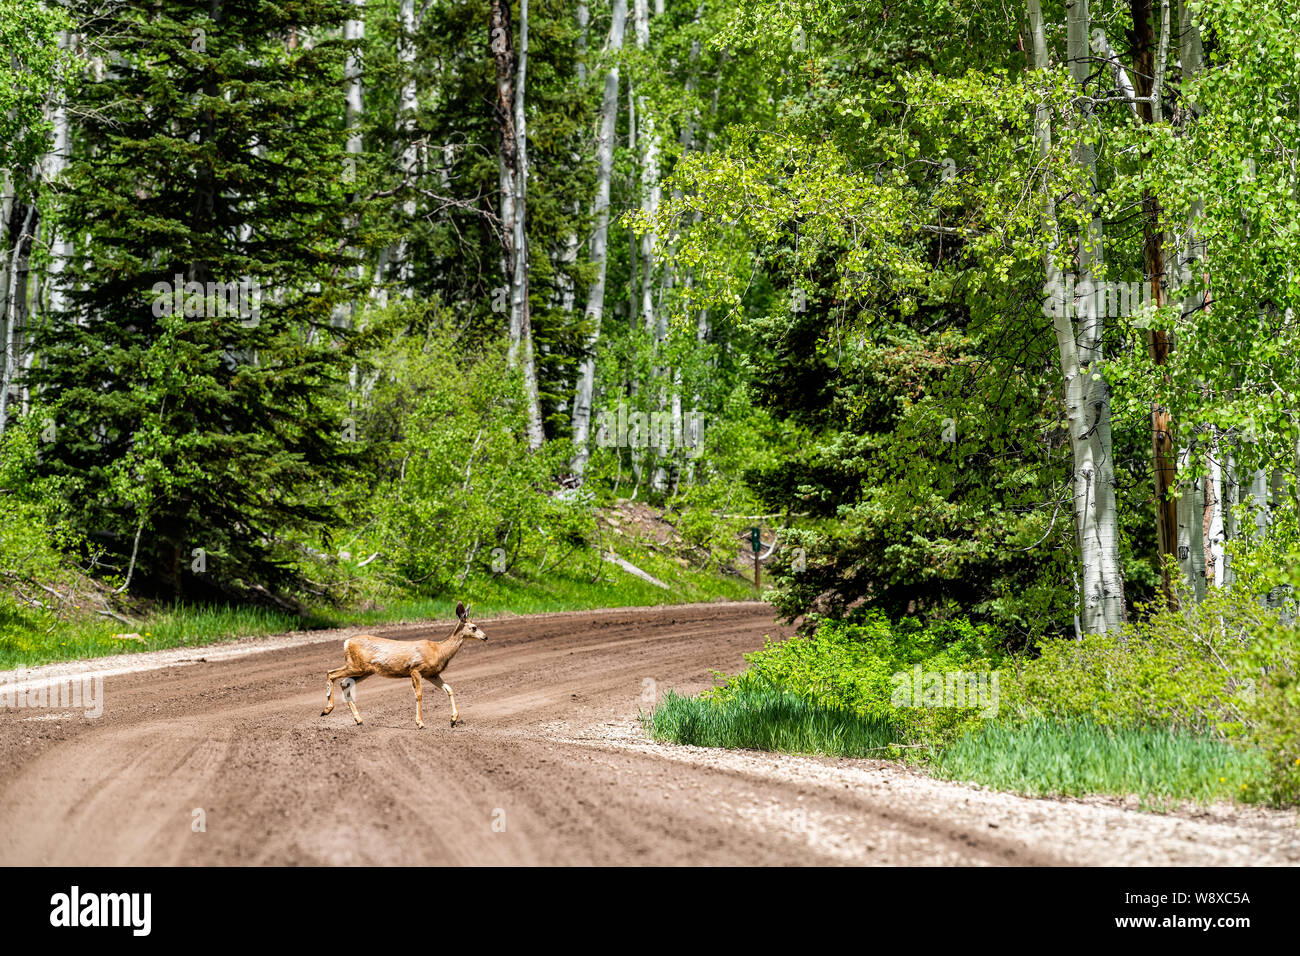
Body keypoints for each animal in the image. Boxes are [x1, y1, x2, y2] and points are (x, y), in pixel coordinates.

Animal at [319, 600, 488, 728]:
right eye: (474, 627)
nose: (485, 637)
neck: (439, 650)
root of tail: (346, 642)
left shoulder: (432, 674)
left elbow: (449, 689)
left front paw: (453, 720)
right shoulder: (415, 669)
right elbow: (419, 694)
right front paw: (420, 723)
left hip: (364, 670)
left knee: (344, 683)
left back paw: (358, 719)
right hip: (356, 665)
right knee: (331, 673)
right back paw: (327, 710)